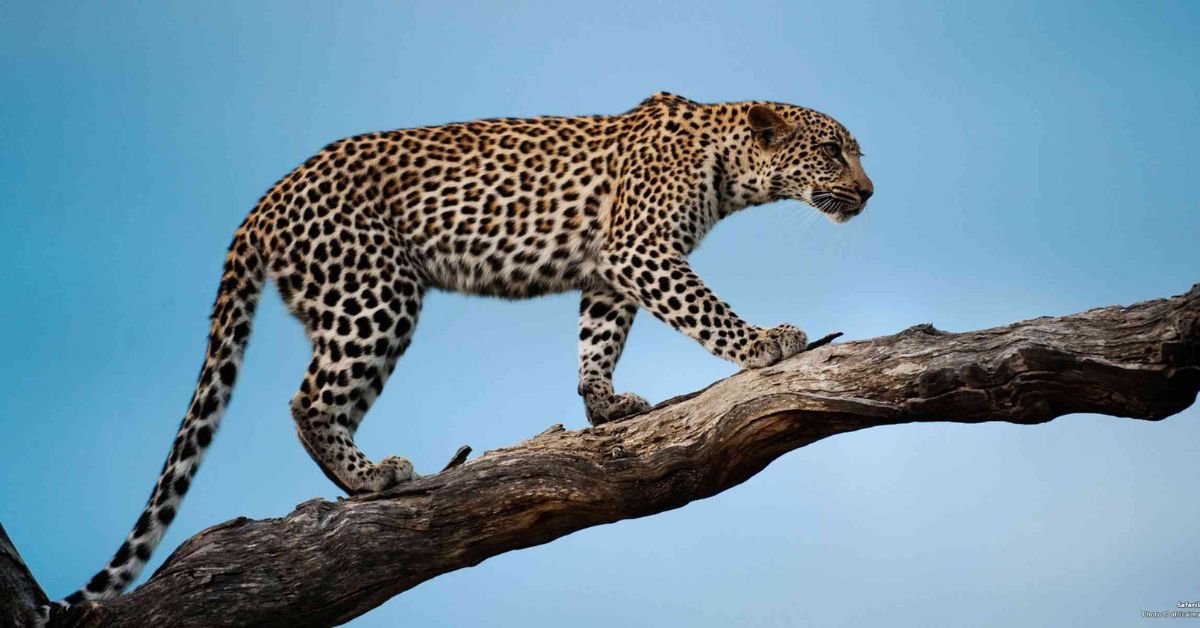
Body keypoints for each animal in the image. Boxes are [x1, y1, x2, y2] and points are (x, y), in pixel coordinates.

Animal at [57, 92, 872, 606]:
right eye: (833, 151)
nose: (869, 192)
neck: (729, 163)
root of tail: (262, 205)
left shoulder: (610, 268)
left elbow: (597, 338)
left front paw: (605, 404)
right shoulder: (641, 249)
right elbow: (702, 309)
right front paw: (765, 342)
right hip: (374, 293)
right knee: (306, 399)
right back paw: (373, 478)